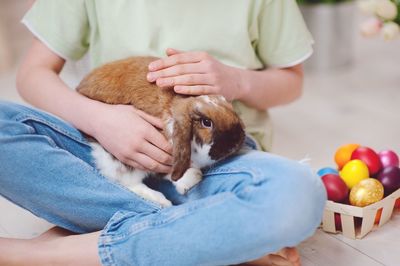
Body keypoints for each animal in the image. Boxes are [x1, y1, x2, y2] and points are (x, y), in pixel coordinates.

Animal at [75, 55, 244, 206]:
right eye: (206, 122)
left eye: (230, 107)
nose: (236, 141)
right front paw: (192, 179)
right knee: (125, 182)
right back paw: (162, 202)